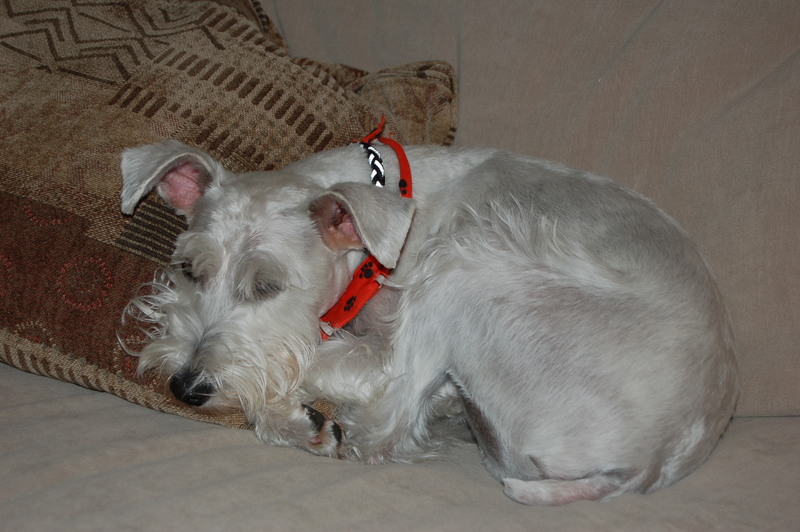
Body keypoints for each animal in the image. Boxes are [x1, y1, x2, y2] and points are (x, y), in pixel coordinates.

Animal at [119, 133, 738, 506]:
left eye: (267, 285)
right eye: (188, 268)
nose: (185, 387)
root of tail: (654, 460)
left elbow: (320, 367)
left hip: (465, 266)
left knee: (386, 427)